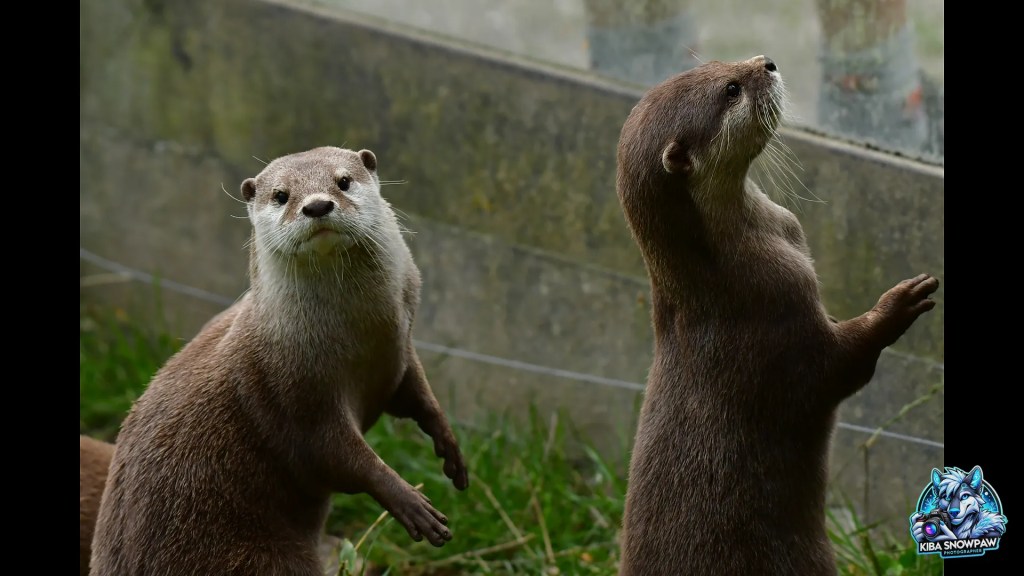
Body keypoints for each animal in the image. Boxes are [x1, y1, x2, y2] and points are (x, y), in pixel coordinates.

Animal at [90, 146, 469, 576]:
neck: (361, 339)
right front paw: (410, 503)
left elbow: (420, 399)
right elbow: (338, 458)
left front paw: (451, 451)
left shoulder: (399, 355)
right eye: (281, 195)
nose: (317, 205)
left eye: (343, 181)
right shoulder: (293, 397)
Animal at [614, 56, 939, 575]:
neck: (733, 269)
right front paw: (899, 303)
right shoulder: (773, 320)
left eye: (717, 64)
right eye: (730, 89)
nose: (765, 62)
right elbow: (835, 370)